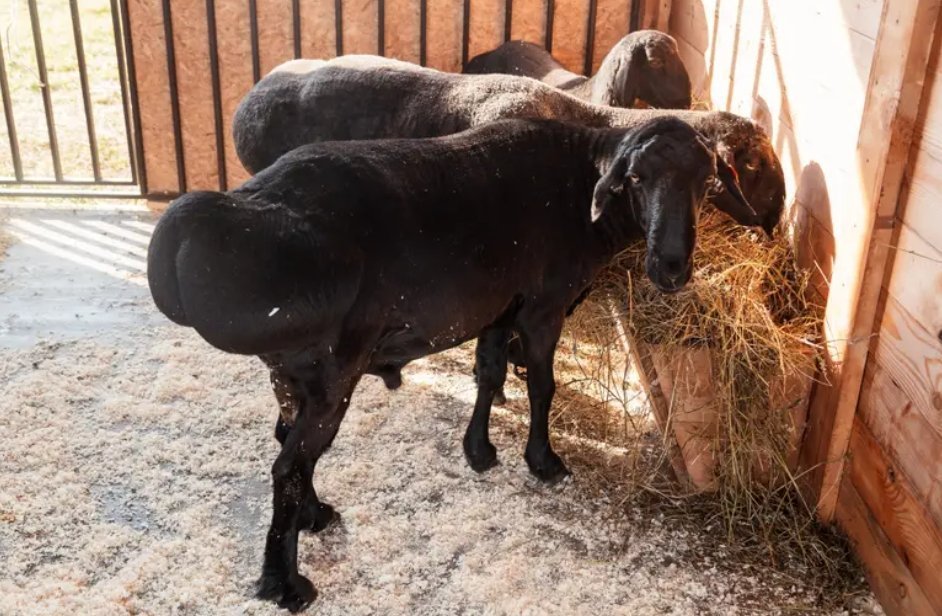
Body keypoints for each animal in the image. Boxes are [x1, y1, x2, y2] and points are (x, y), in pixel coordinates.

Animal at [148, 117, 762, 611]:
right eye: (635, 179)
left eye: (708, 183)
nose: (672, 266)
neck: (578, 196)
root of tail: (232, 208)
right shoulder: (542, 308)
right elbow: (542, 385)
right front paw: (543, 460)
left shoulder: (497, 306)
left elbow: (489, 374)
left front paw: (479, 451)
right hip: (330, 369)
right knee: (288, 467)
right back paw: (285, 583)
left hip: (288, 372)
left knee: (288, 447)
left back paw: (314, 516)